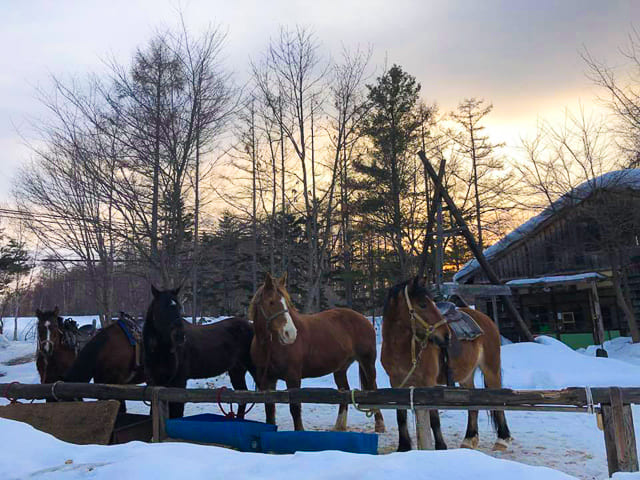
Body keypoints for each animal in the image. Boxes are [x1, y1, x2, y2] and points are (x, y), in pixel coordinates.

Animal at [144, 286, 256, 418]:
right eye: (162, 308)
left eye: (179, 307)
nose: (180, 336)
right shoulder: (156, 382)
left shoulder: (179, 381)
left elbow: (177, 412)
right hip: (237, 370)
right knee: (242, 398)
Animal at [249, 272, 384, 434]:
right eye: (271, 302)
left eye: (287, 303)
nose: (290, 334)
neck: (269, 346)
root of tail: (365, 320)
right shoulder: (267, 380)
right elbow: (269, 410)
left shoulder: (293, 378)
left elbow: (295, 408)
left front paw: (300, 430)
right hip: (340, 369)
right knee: (344, 392)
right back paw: (339, 426)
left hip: (367, 362)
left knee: (373, 387)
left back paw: (379, 424)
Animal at [382, 276, 512, 452]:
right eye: (422, 304)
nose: (446, 335)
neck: (403, 347)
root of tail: (485, 318)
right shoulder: (396, 383)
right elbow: (400, 417)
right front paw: (403, 447)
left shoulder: (428, 383)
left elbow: (434, 418)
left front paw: (441, 447)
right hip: (466, 376)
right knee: (473, 407)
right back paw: (468, 439)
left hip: (491, 369)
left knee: (498, 402)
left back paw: (502, 440)